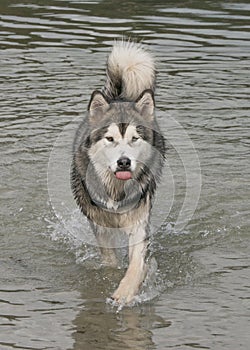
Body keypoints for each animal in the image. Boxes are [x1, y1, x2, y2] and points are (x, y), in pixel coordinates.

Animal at [71, 40, 164, 304]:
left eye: (134, 138)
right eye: (110, 139)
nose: (124, 162)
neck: (116, 190)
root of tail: (120, 97)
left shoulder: (139, 221)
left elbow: (136, 263)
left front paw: (125, 293)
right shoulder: (100, 224)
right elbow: (110, 260)